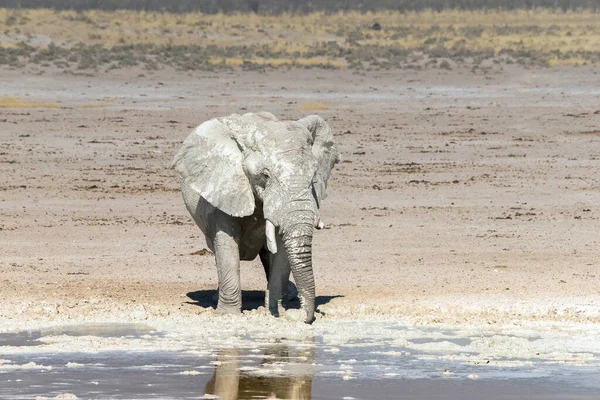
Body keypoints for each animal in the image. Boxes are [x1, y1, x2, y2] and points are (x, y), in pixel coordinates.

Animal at [172, 111, 338, 324]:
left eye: (314, 176)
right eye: (265, 175)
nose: (297, 314)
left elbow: (281, 249)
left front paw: (276, 311)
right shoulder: (224, 189)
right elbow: (226, 245)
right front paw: (228, 314)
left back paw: (289, 295)